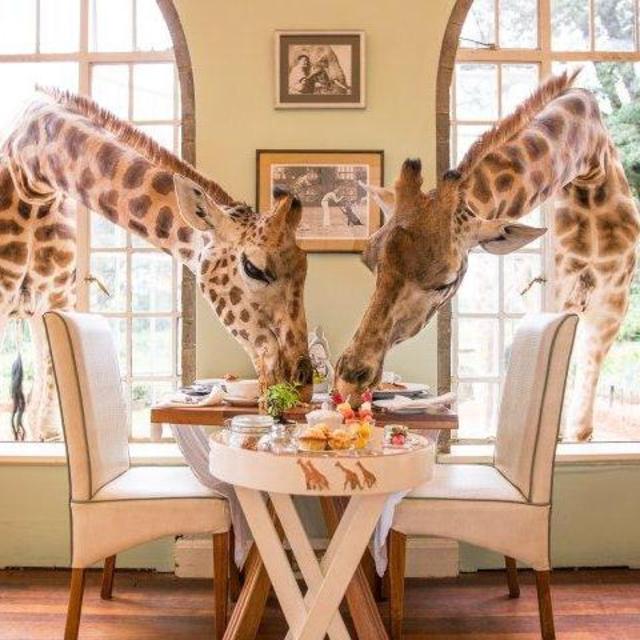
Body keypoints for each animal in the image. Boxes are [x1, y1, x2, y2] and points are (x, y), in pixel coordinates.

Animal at [0, 87, 312, 441]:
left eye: (306, 266)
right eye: (254, 268)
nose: (303, 385)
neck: (32, 175)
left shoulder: (57, 300)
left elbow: (46, 420)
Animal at [335, 70, 640, 441]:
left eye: (446, 281)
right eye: (369, 261)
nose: (349, 381)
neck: (589, 165)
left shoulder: (608, 307)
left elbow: (581, 423)